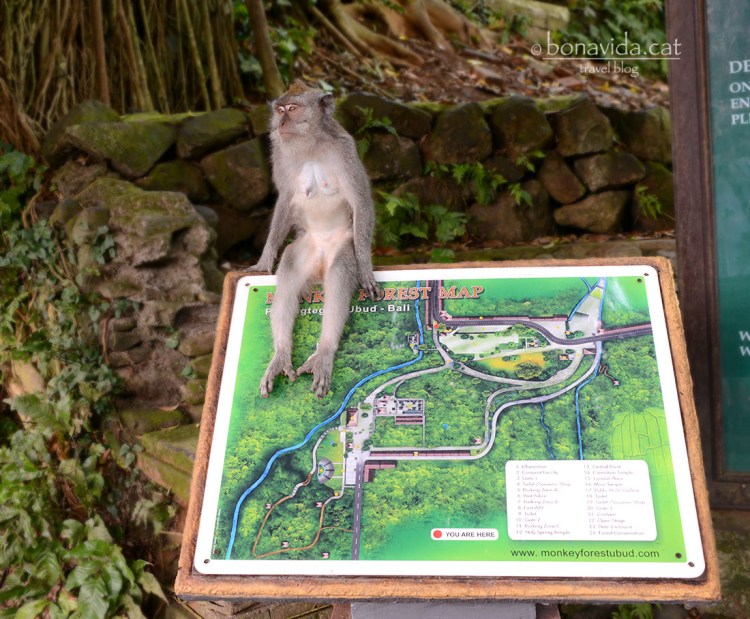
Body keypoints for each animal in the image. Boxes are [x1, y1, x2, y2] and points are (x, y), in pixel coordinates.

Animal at [246, 81, 380, 399]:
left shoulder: (345, 150)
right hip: (305, 249)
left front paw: (366, 267)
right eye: (280, 109)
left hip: (341, 247)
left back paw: (325, 352)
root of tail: (319, 262)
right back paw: (281, 354)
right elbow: (285, 199)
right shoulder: (280, 154)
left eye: (292, 109)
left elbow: (360, 201)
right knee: (289, 275)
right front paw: (264, 260)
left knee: (340, 274)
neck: (311, 147)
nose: (280, 123)